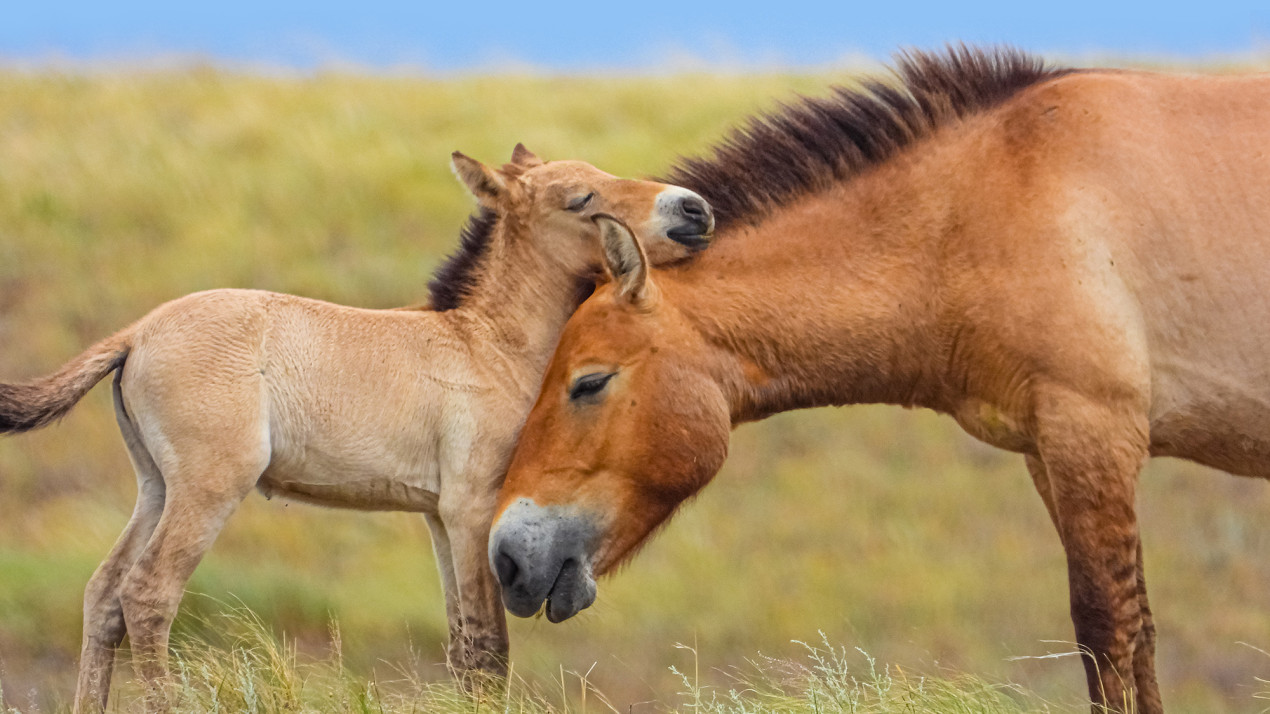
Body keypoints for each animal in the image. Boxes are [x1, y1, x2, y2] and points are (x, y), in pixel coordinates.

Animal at [0, 145, 715, 712]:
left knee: (104, 594)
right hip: (208, 489)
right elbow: (488, 648)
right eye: (580, 198)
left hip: (156, 487)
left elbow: (462, 645)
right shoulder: (472, 508)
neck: (487, 344)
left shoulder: (437, 516)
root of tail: (136, 334)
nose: (694, 211)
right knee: (147, 595)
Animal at [486, 47, 1270, 713]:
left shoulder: (1092, 435)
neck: (984, 202)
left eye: (588, 383)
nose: (507, 556)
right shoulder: (1050, 454)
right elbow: (1139, 634)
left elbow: (1107, 630)